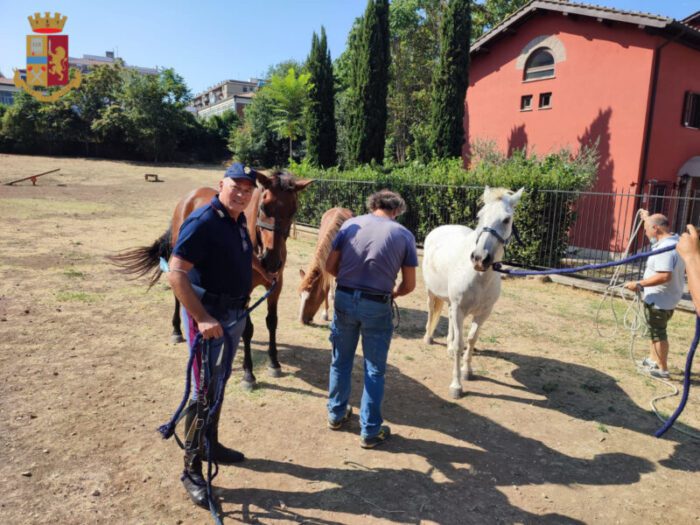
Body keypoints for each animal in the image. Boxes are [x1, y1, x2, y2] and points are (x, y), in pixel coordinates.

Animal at [110, 170, 312, 386]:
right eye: (264, 206)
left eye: (293, 210)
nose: (271, 261)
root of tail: (189, 197)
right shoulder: (245, 289)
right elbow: (248, 329)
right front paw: (248, 374)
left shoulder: (276, 286)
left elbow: (272, 322)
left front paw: (274, 364)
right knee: (179, 295)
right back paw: (177, 331)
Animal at [424, 186, 524, 396]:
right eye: (479, 216)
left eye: (506, 219)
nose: (479, 258)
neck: (479, 276)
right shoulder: (459, 308)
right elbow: (460, 343)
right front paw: (456, 386)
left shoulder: (483, 313)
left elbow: (470, 340)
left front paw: (466, 371)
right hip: (432, 292)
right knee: (431, 310)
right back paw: (428, 338)